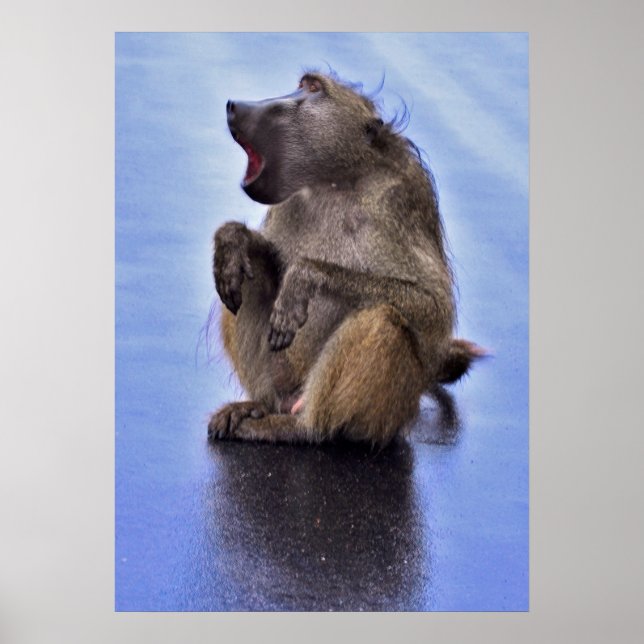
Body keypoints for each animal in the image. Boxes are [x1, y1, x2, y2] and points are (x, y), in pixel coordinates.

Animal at [208, 72, 483, 446]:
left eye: (312, 88)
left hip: (383, 412)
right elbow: (263, 260)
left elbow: (433, 310)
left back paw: (300, 428)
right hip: (285, 378)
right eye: (303, 84)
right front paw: (233, 239)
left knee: (382, 318)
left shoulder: (401, 199)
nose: (234, 106)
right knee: (245, 277)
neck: (336, 181)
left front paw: (305, 277)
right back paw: (257, 407)